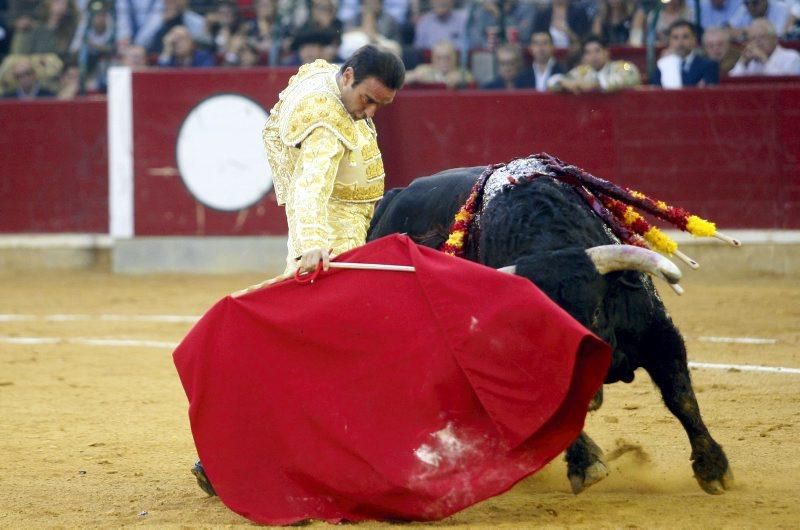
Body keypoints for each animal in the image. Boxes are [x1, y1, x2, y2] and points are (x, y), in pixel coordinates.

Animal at [366, 166, 736, 496]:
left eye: (596, 311)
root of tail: (391, 200)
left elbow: (680, 396)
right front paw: (586, 465)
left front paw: (714, 469)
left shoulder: (658, 334)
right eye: (538, 323)